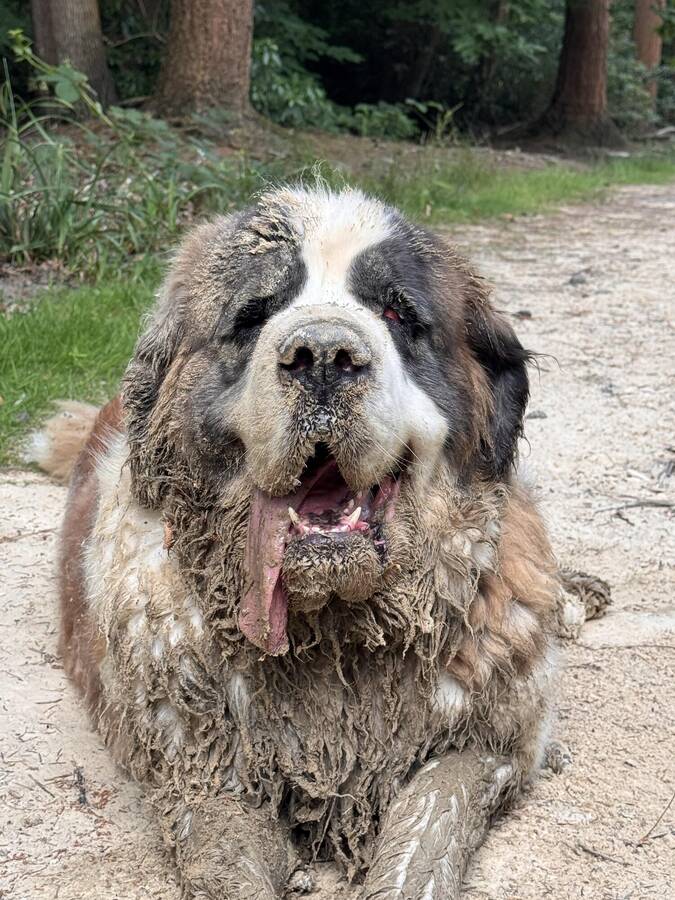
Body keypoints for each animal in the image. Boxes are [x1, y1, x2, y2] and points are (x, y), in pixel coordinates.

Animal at [37, 186, 565, 898]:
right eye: (254, 315)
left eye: (397, 312)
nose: (323, 355)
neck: (338, 638)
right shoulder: (203, 773)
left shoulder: (483, 747)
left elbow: (425, 835)